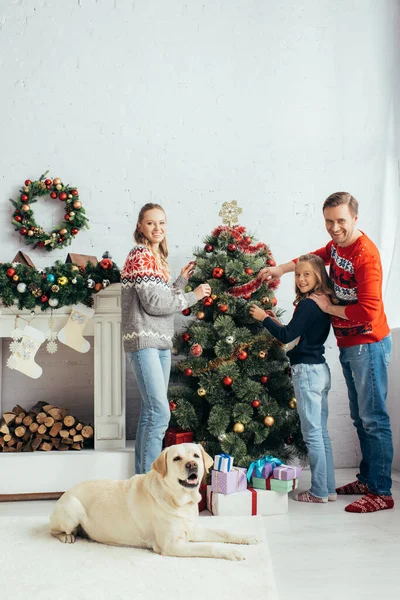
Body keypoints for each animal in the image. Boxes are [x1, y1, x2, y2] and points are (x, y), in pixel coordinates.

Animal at [49, 442, 260, 560]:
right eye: (176, 458)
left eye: (196, 456)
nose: (192, 465)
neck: (180, 501)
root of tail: (65, 492)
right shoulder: (172, 545)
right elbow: (210, 546)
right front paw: (232, 553)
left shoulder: (192, 530)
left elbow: (224, 532)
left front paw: (248, 537)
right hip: (72, 509)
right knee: (54, 531)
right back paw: (66, 536)